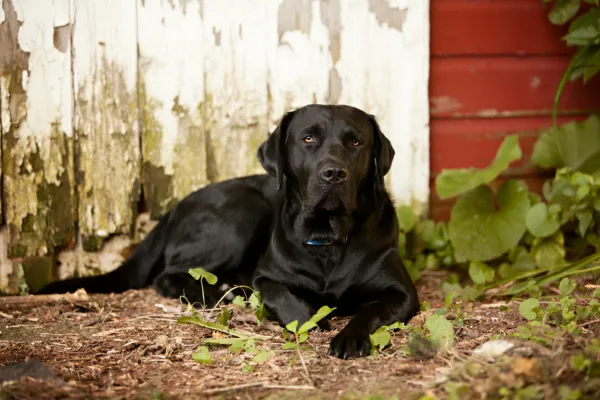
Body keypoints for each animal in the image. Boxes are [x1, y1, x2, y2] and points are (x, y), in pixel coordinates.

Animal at [37, 103, 420, 360]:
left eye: (356, 143)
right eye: (308, 138)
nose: (334, 173)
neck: (327, 238)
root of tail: (176, 206)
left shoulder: (401, 293)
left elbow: (370, 310)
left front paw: (349, 337)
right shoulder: (267, 277)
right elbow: (280, 295)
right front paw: (307, 319)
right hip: (244, 213)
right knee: (167, 277)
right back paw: (220, 293)